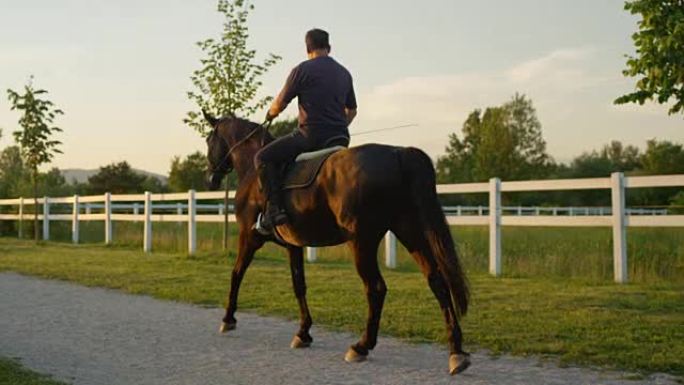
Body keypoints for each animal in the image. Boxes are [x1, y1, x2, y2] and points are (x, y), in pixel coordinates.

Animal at [203, 112, 470, 374]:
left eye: (209, 140)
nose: (211, 180)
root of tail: (398, 154)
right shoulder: (294, 245)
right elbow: (298, 285)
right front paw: (303, 333)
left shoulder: (249, 238)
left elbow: (236, 274)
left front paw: (228, 319)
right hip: (409, 232)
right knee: (437, 281)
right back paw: (456, 352)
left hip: (362, 242)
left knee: (376, 288)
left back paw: (361, 346)